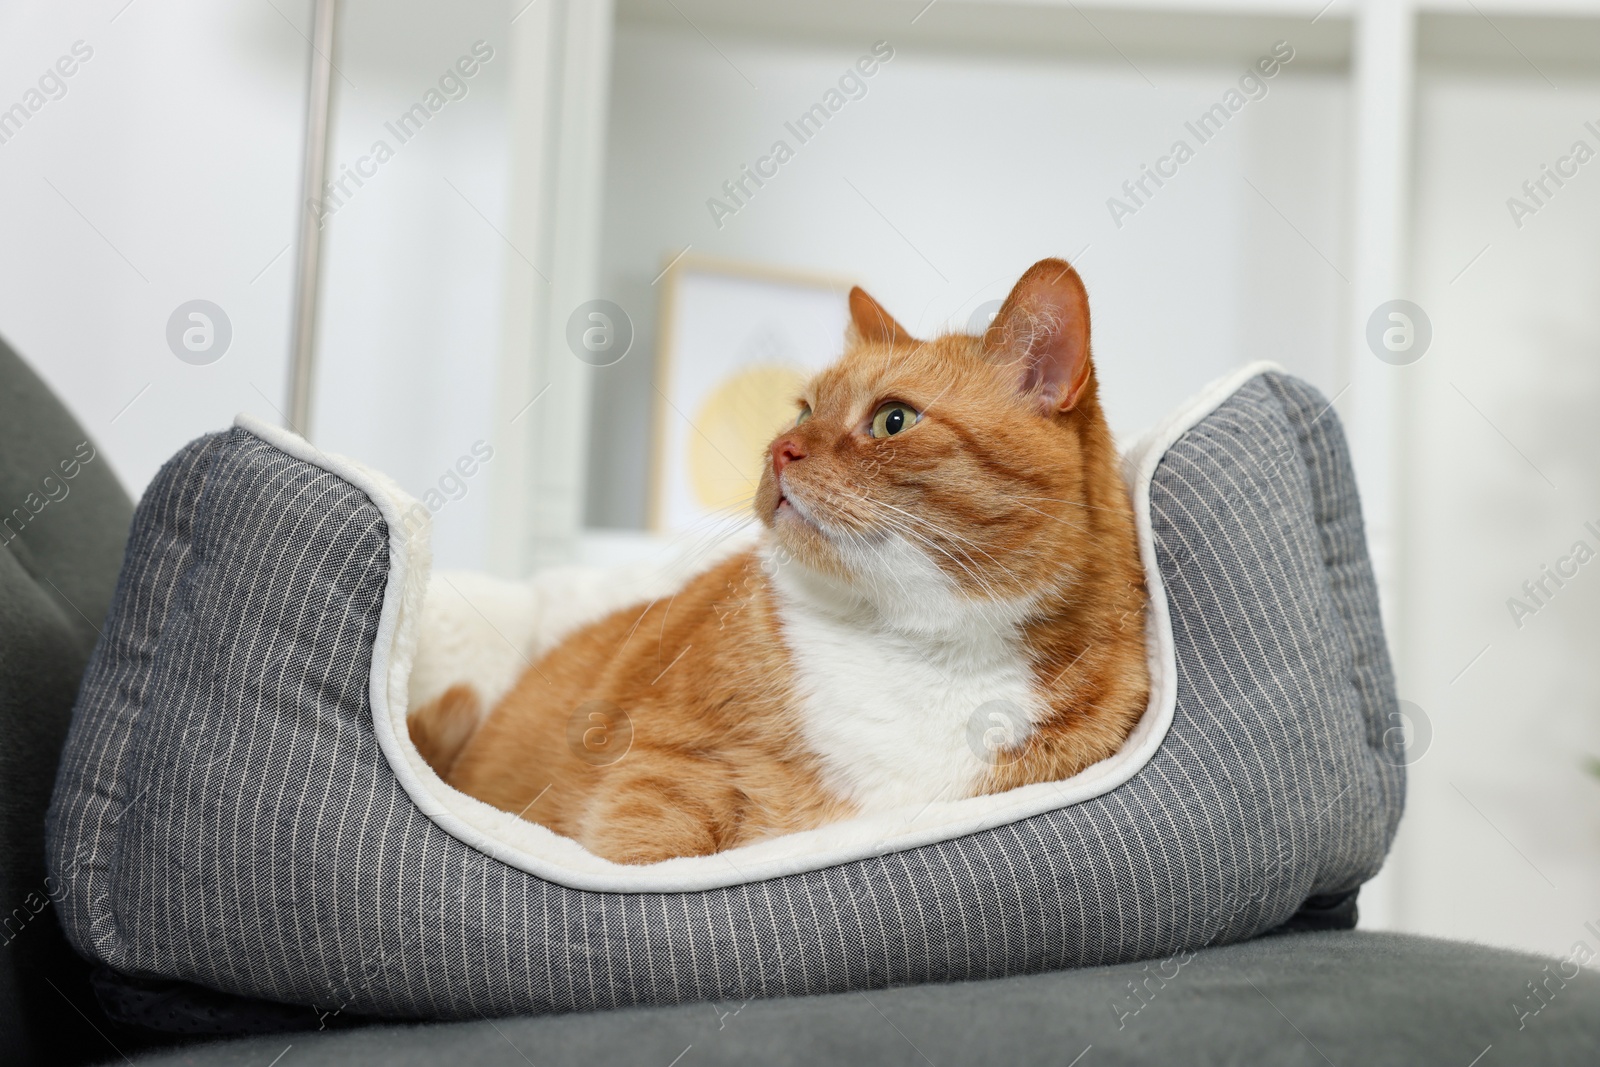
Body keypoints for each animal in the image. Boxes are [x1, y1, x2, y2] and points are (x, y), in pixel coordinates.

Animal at [406, 259, 1145, 870]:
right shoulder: (666, 765)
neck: (914, 645)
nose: (780, 449)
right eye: (804, 410)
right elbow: (647, 853)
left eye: (894, 419)